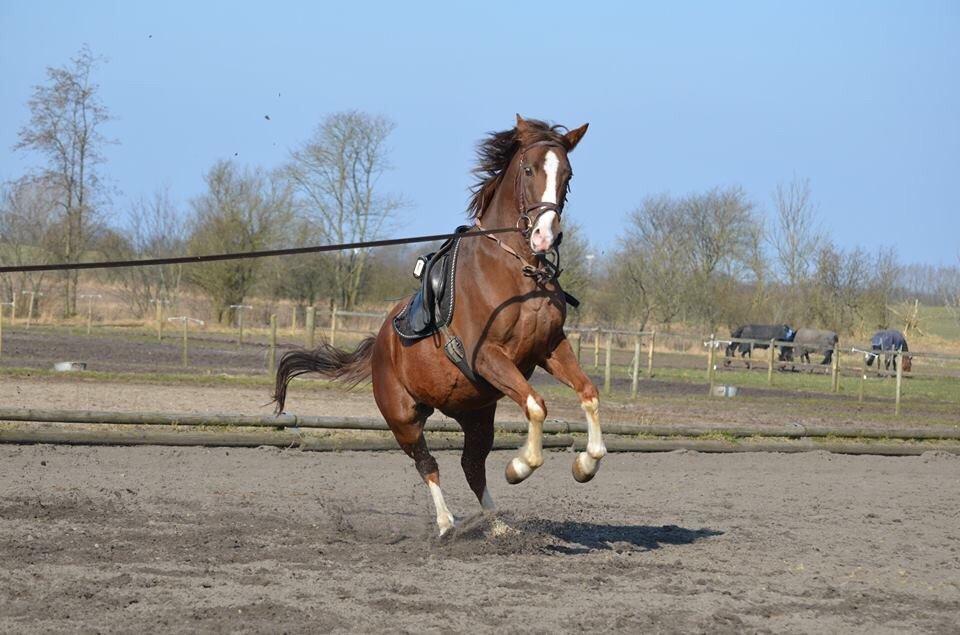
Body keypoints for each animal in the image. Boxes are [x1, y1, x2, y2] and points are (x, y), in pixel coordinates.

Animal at [274, 117, 604, 536]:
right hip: (404, 419)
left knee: (472, 465)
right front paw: (519, 466)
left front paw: (586, 464)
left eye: (567, 174)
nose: (545, 236)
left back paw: (496, 524)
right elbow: (536, 404)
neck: (518, 271)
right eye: (529, 170)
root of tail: (380, 343)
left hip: (476, 412)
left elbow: (588, 393)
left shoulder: (550, 347)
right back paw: (448, 524)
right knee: (427, 464)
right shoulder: (487, 356)